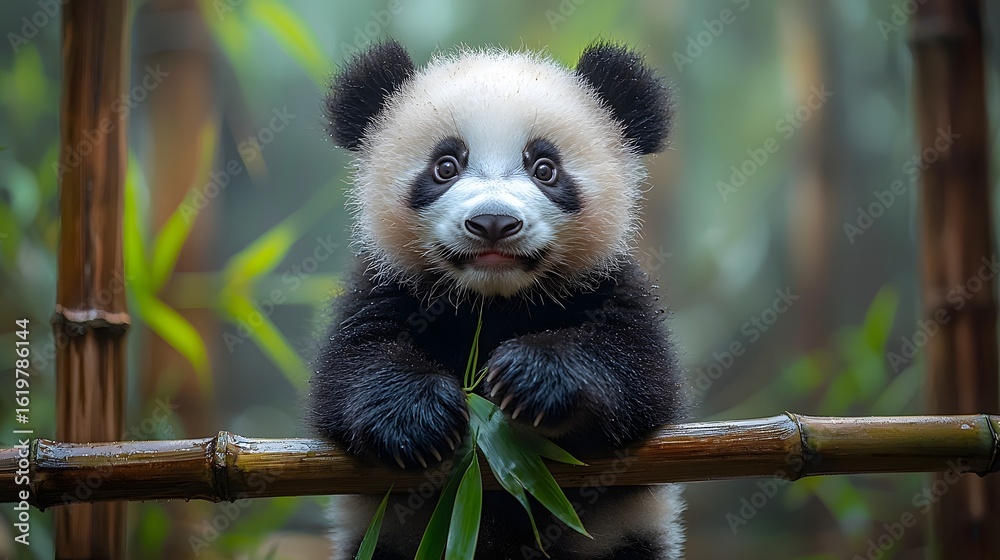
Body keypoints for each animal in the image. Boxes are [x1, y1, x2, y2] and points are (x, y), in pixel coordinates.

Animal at [309, 39, 687, 560]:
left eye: (544, 168)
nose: (493, 222)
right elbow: (352, 368)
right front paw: (418, 414)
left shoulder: (607, 286)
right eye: (446, 166)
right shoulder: (386, 287)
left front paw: (532, 377)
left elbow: (641, 371)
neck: (494, 300)